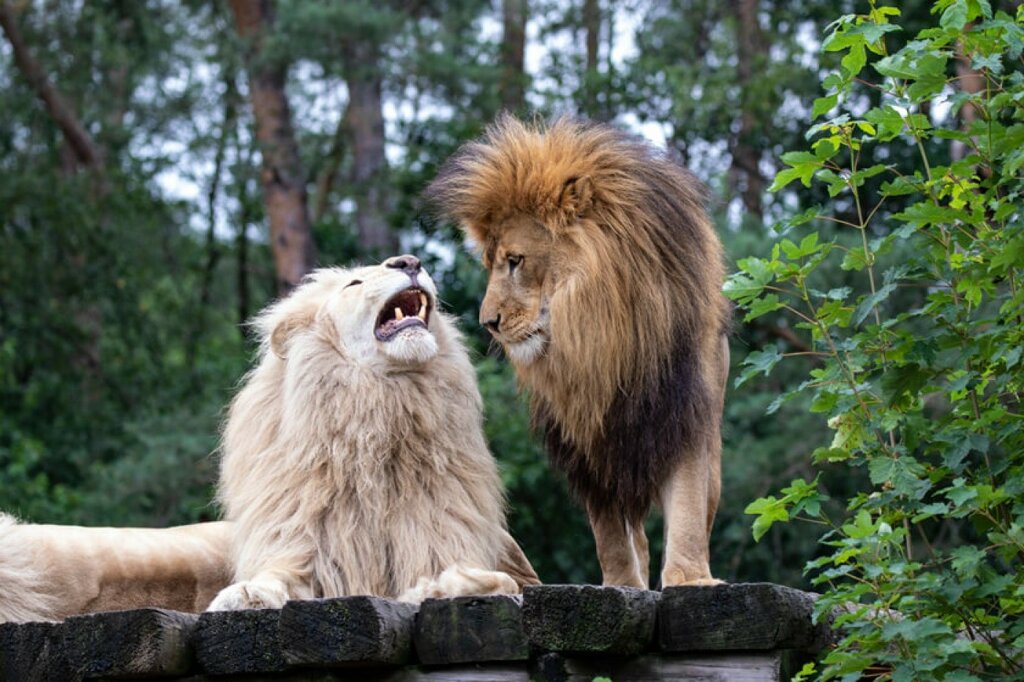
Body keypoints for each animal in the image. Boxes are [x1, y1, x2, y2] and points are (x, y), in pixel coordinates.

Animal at [210, 258, 540, 606]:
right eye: (353, 284)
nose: (409, 261)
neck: (380, 401)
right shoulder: (309, 550)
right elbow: (277, 576)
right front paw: (245, 594)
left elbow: (499, 580)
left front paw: (436, 587)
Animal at [428, 115, 733, 585]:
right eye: (490, 263)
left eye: (515, 260)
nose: (487, 323)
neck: (606, 332)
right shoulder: (584, 428)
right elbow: (609, 532)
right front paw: (622, 585)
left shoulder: (681, 409)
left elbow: (686, 506)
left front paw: (690, 579)